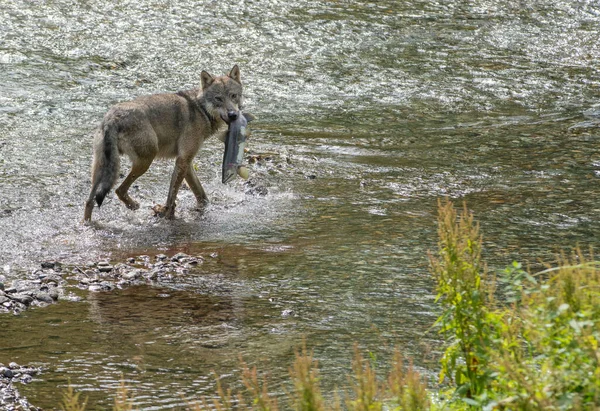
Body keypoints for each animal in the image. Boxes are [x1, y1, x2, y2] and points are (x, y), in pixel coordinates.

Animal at [83, 65, 243, 222]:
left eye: (233, 96)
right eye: (218, 98)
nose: (233, 115)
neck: (201, 110)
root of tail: (112, 119)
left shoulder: (186, 162)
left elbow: (201, 194)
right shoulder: (183, 160)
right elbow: (172, 194)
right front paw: (167, 213)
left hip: (101, 169)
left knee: (90, 201)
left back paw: (87, 223)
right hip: (145, 162)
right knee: (119, 190)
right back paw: (134, 205)